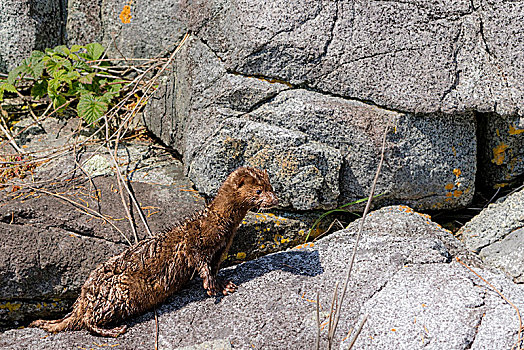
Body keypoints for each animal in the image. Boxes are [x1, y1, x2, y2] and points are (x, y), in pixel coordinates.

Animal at [29, 168, 278, 338]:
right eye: (259, 190)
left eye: (271, 187)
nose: (275, 200)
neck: (220, 226)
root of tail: (81, 298)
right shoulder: (194, 241)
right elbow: (199, 262)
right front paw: (210, 286)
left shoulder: (221, 250)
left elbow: (214, 268)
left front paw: (224, 284)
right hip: (115, 293)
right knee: (88, 321)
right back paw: (114, 330)